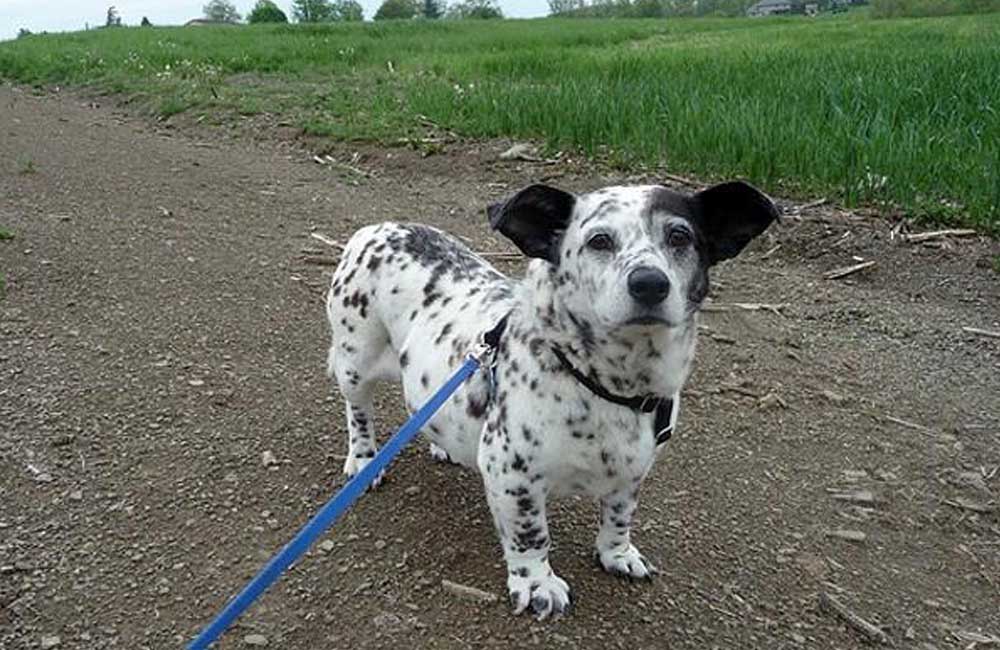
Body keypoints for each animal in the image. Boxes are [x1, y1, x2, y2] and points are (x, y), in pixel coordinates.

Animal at [324, 177, 776, 616]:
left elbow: (619, 515)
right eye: (599, 240)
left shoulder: (633, 470)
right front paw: (537, 583)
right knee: (358, 411)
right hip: (355, 362)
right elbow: (531, 534)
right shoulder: (512, 476)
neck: (608, 386)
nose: (649, 283)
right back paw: (364, 459)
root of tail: (376, 228)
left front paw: (617, 554)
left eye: (680, 235)